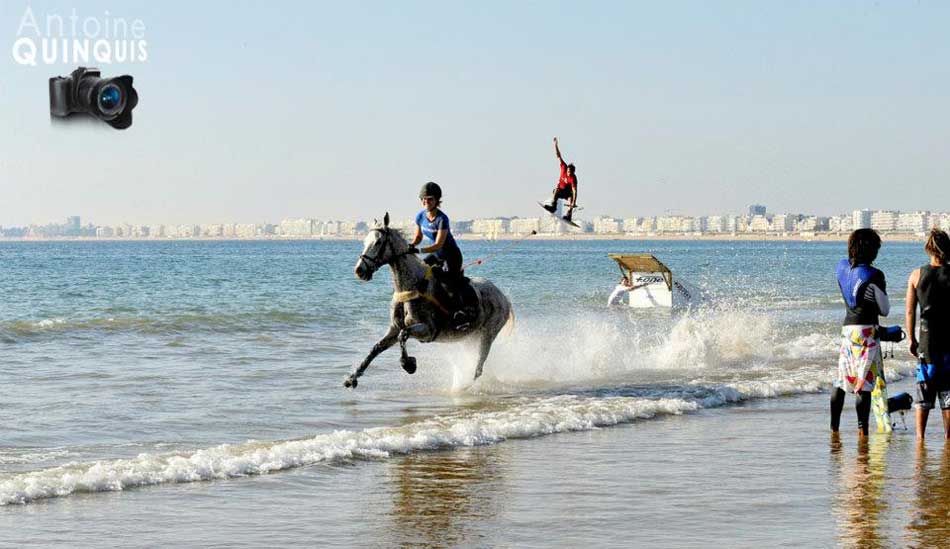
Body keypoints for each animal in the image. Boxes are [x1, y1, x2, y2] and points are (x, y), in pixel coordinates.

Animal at [348, 212, 512, 388]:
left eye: (378, 242)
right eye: (365, 242)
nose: (359, 270)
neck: (410, 286)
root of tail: (503, 297)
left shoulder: (428, 330)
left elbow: (403, 335)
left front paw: (408, 364)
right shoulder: (394, 328)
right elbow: (376, 348)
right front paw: (352, 378)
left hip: (487, 334)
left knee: (479, 366)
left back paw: (464, 386)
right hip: (471, 336)